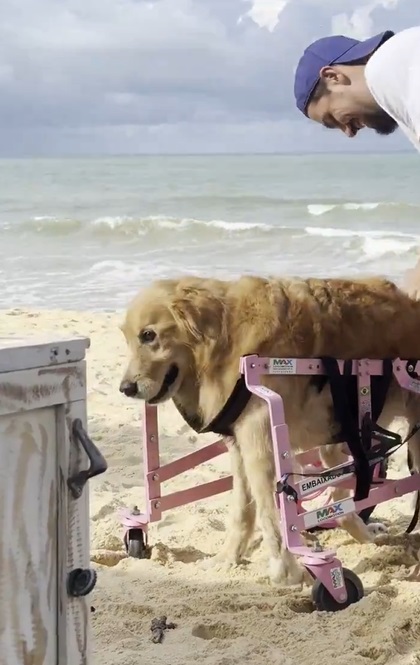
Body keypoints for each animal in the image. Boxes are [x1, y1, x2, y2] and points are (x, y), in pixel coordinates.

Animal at [118, 272, 420, 584]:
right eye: (128, 337)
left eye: (149, 335)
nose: (125, 388)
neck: (225, 341)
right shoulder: (240, 444)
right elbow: (243, 509)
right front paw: (227, 558)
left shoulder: (259, 442)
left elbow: (270, 513)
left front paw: (285, 570)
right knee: (346, 485)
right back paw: (363, 531)